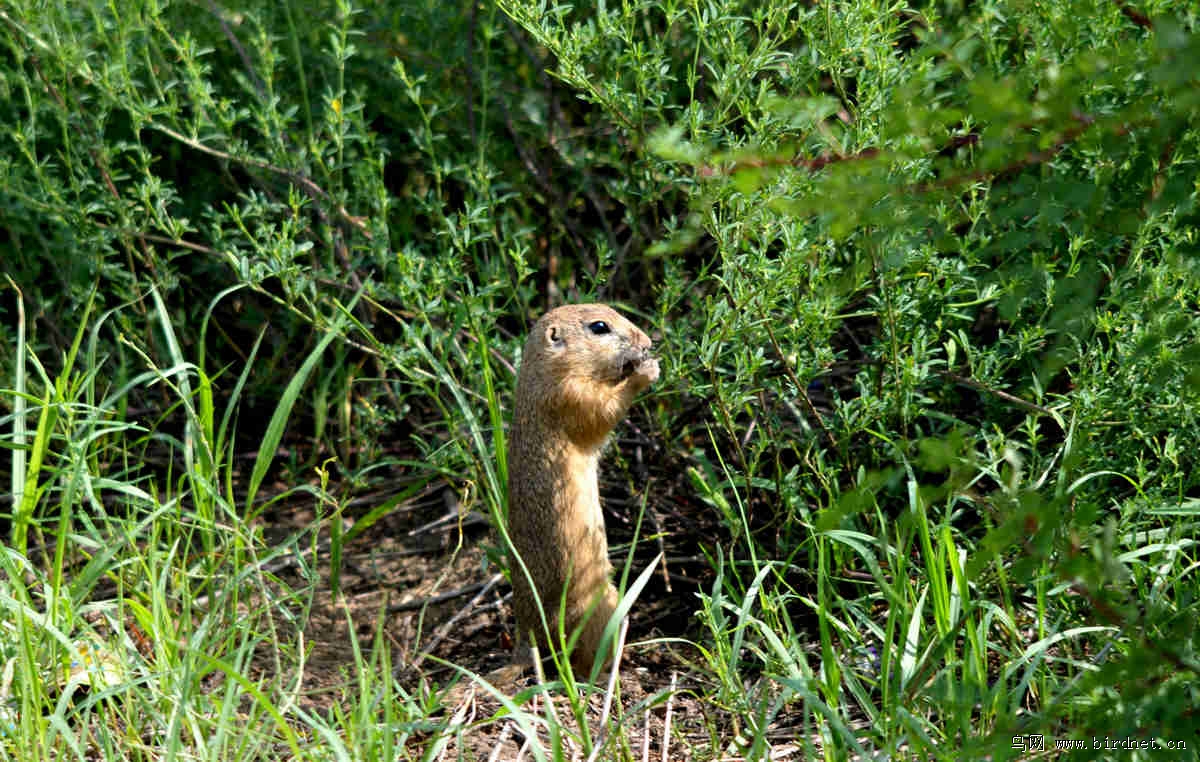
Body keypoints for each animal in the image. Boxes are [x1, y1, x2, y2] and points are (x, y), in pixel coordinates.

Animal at [504, 303, 662, 672]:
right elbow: (602, 409)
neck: (542, 372)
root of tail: (526, 639)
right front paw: (646, 370)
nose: (647, 342)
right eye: (599, 327)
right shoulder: (570, 395)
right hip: (602, 604)